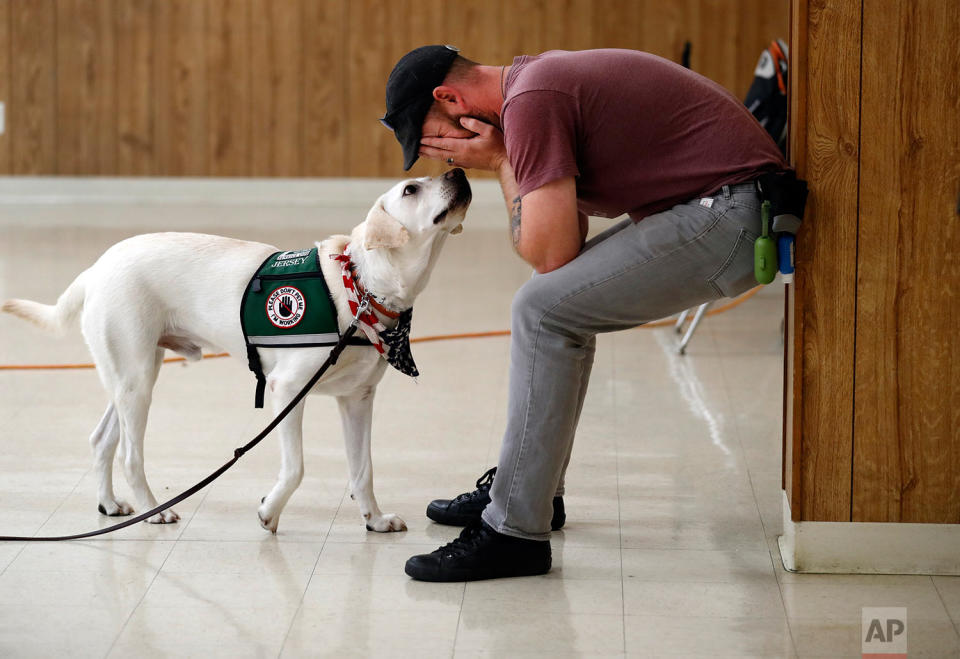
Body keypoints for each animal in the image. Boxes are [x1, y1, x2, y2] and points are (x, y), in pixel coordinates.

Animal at [0, 168, 472, 532]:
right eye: (410, 189)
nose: (459, 171)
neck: (360, 285)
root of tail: (96, 268)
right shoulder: (287, 391)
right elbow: (296, 468)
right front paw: (269, 512)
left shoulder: (357, 400)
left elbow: (363, 471)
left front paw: (373, 519)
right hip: (137, 381)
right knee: (130, 456)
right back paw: (155, 511)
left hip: (132, 375)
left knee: (102, 440)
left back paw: (110, 504)